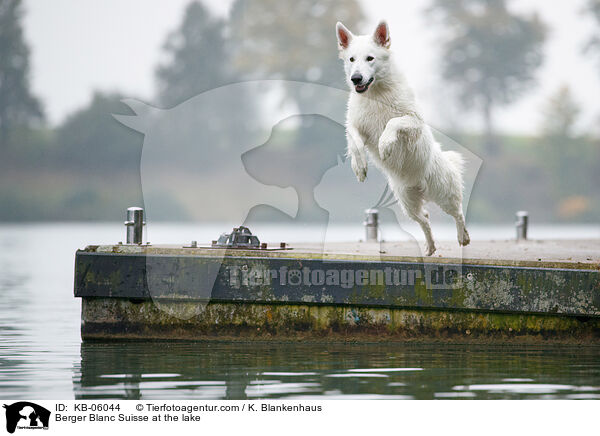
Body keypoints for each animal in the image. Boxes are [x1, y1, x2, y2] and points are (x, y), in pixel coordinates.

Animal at [338, 20, 468, 255]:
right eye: (351, 59)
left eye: (370, 58)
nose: (356, 78)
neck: (376, 93)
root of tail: (420, 187)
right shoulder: (355, 125)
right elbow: (355, 142)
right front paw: (359, 166)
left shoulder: (413, 121)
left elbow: (393, 123)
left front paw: (385, 144)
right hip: (407, 202)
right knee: (424, 218)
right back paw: (430, 246)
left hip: (443, 193)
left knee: (458, 212)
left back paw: (463, 237)